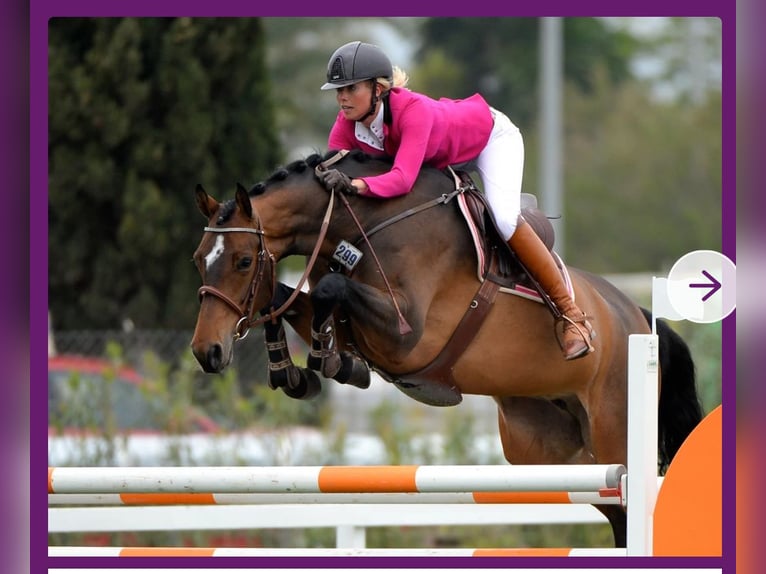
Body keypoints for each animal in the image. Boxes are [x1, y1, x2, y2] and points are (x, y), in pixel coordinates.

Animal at [190, 149, 703, 548]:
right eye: (199, 260)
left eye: (242, 261)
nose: (205, 352)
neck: (363, 224)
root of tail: (637, 316)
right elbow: (288, 300)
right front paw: (297, 371)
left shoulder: (408, 337)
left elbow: (330, 291)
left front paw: (321, 359)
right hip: (545, 448)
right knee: (612, 511)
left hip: (615, 437)